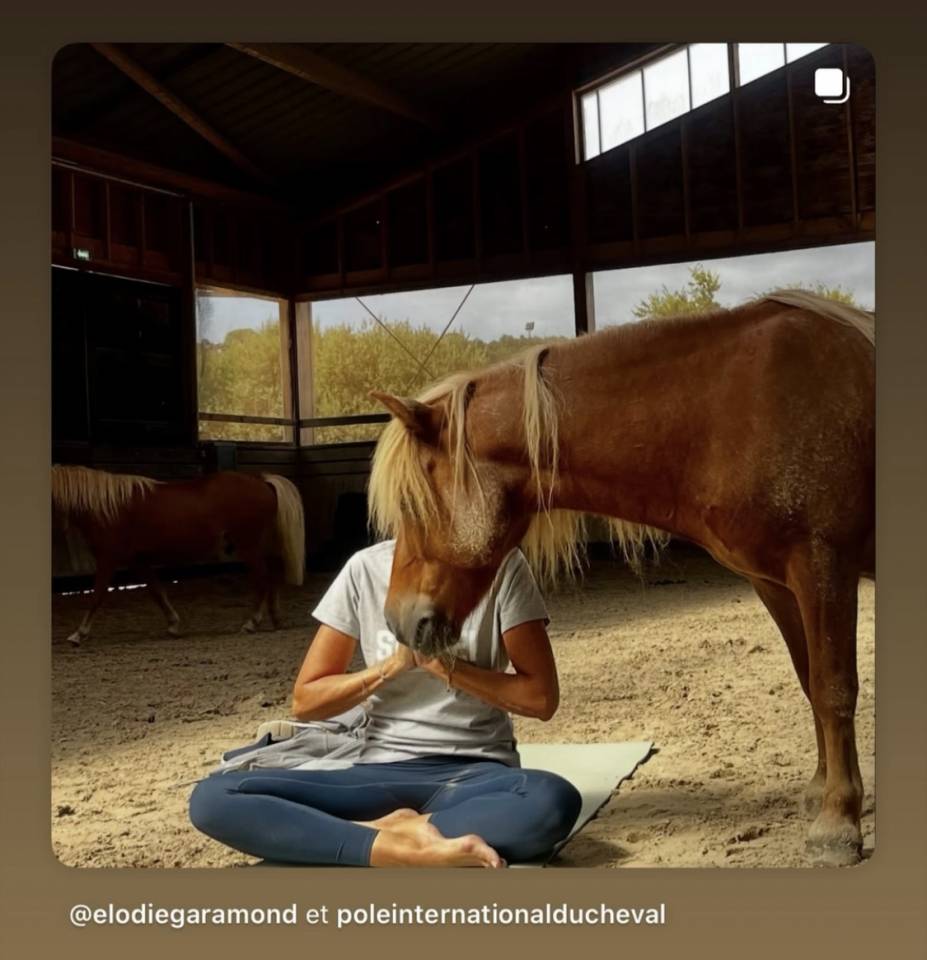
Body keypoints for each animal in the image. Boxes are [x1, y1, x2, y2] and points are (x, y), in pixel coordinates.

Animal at [52, 466, 305, 645]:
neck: (108, 507)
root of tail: (262, 482)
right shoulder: (138, 561)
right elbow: (157, 591)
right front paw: (173, 625)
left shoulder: (108, 559)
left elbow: (97, 596)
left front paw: (79, 634)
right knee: (271, 576)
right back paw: (275, 619)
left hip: (248, 546)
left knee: (263, 578)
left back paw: (251, 623)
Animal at [366, 290, 875, 867]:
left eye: (411, 505)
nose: (398, 619)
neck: (736, 406)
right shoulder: (777, 583)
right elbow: (809, 680)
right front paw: (820, 793)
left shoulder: (823, 564)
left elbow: (834, 689)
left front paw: (838, 824)